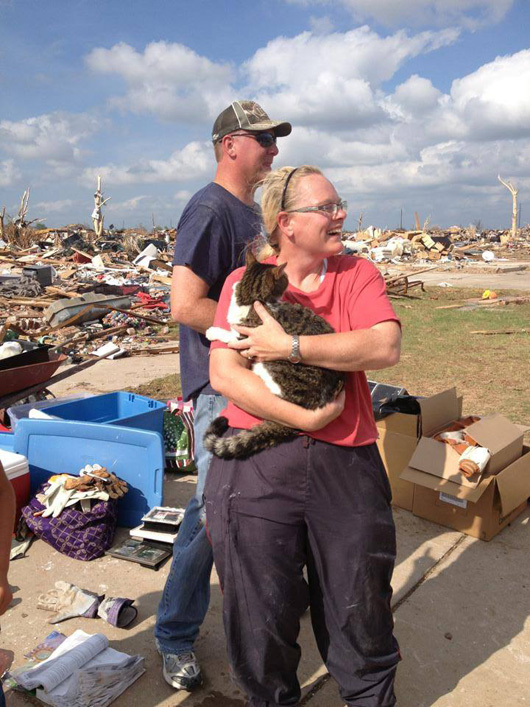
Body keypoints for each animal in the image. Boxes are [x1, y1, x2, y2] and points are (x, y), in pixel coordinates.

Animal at [201, 252, 342, 462]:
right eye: (285, 279)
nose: (288, 283)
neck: (250, 297)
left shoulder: (248, 338)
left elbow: (230, 334)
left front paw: (213, 331)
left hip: (273, 365)